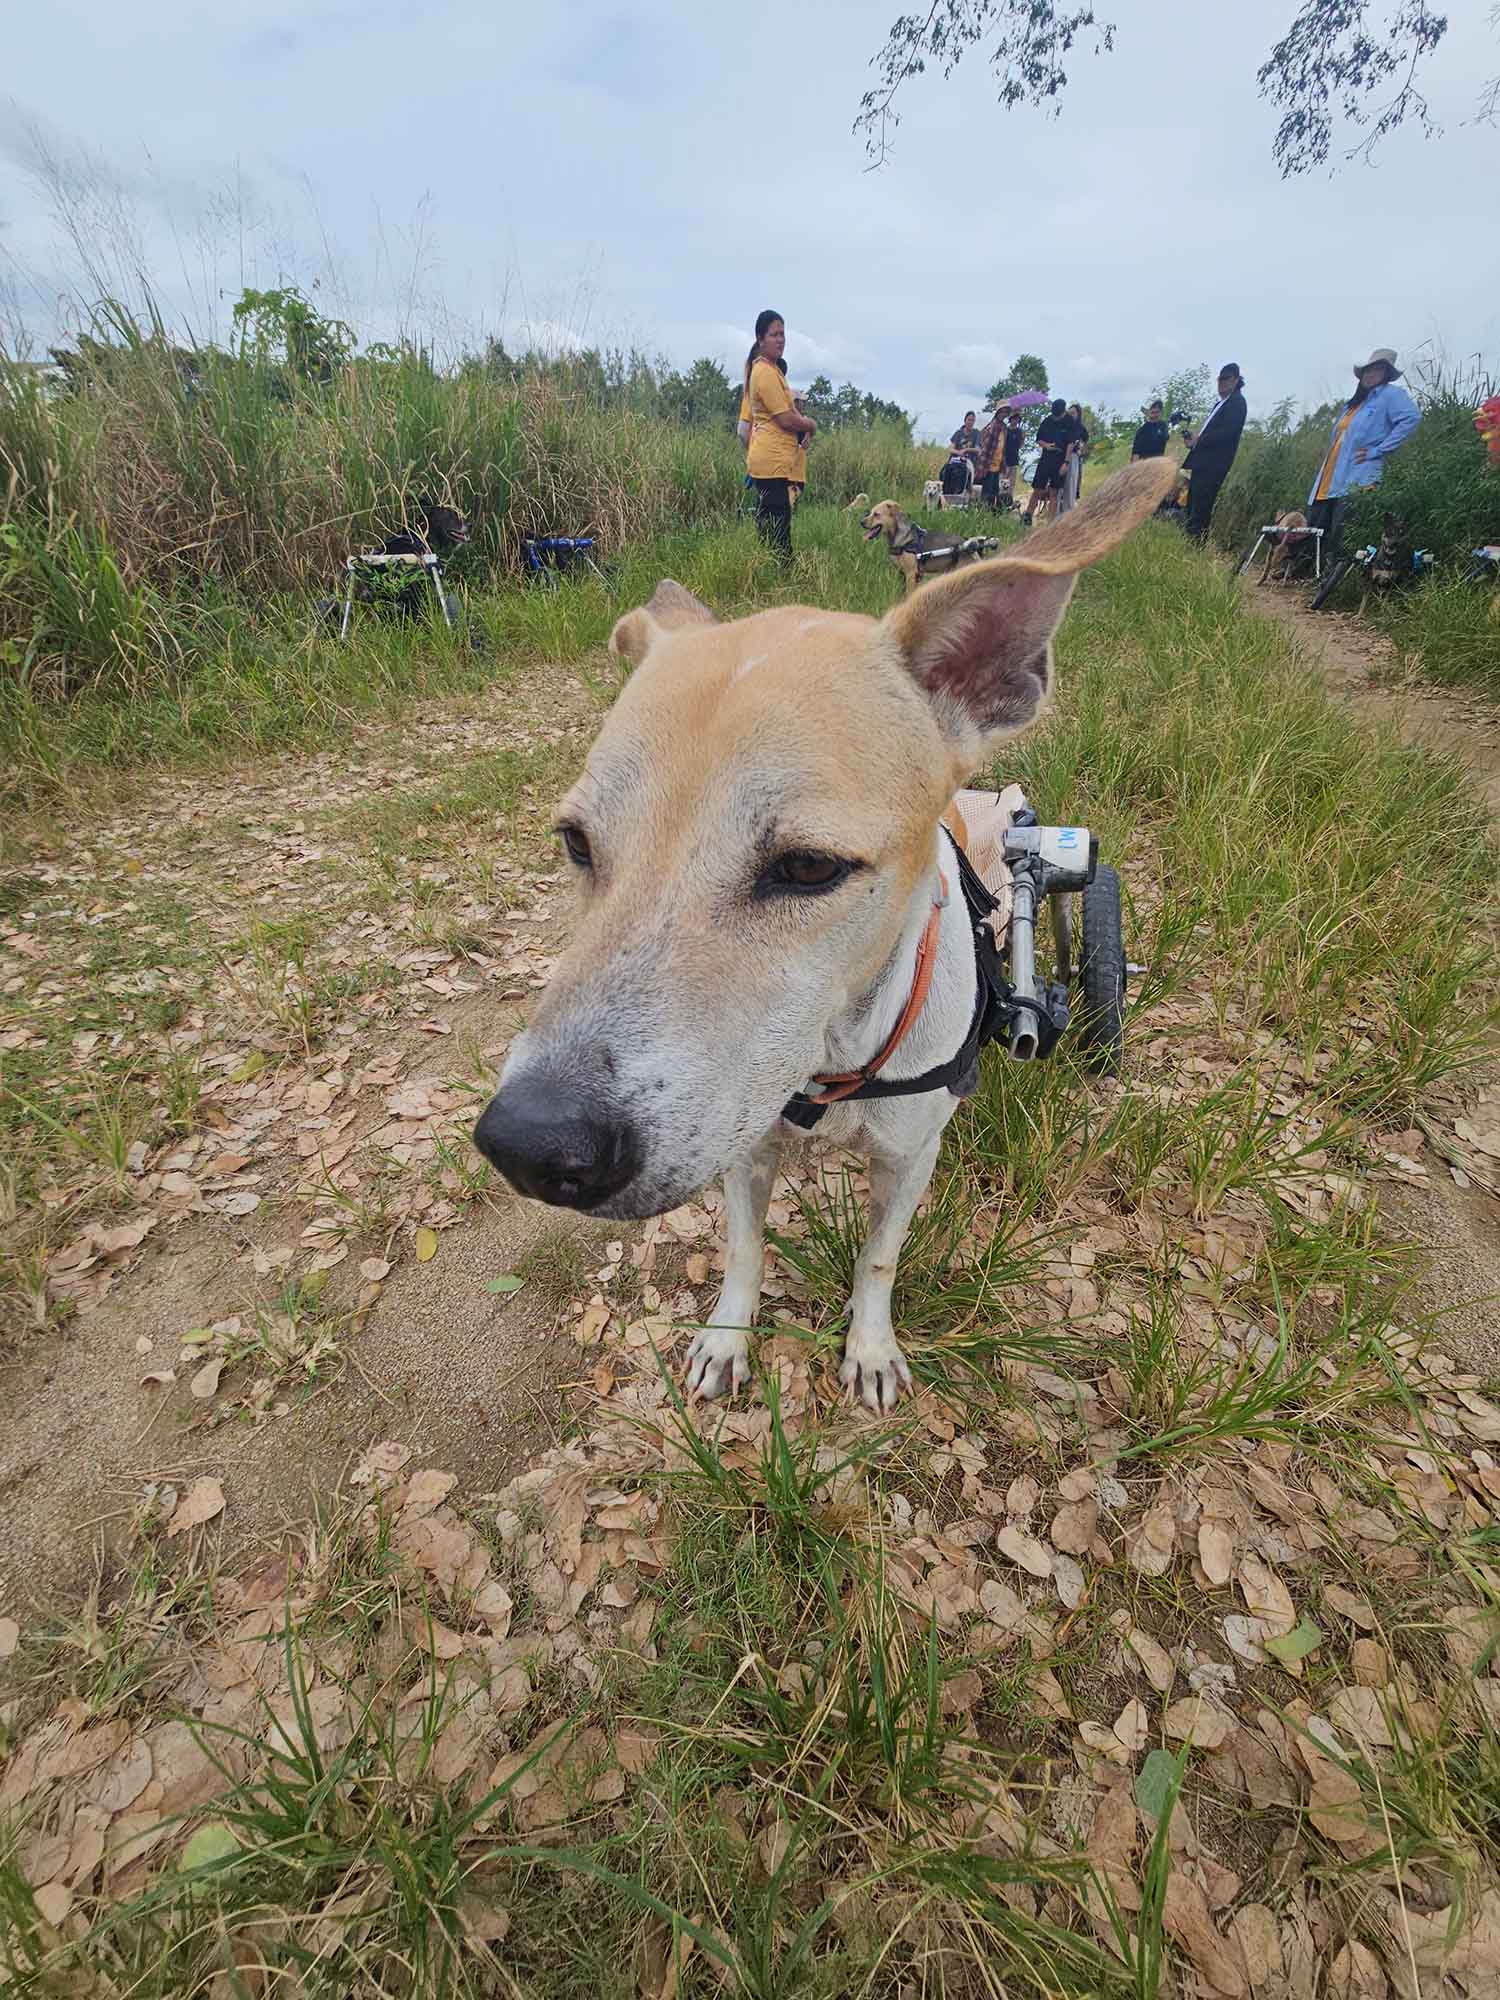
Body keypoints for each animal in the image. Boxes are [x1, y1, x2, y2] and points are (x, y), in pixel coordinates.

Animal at [861, 499, 1000, 597]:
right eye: (870, 512)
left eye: (877, 514)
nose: (861, 522)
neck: (900, 537)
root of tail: (972, 545)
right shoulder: (902, 574)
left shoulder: (911, 574)